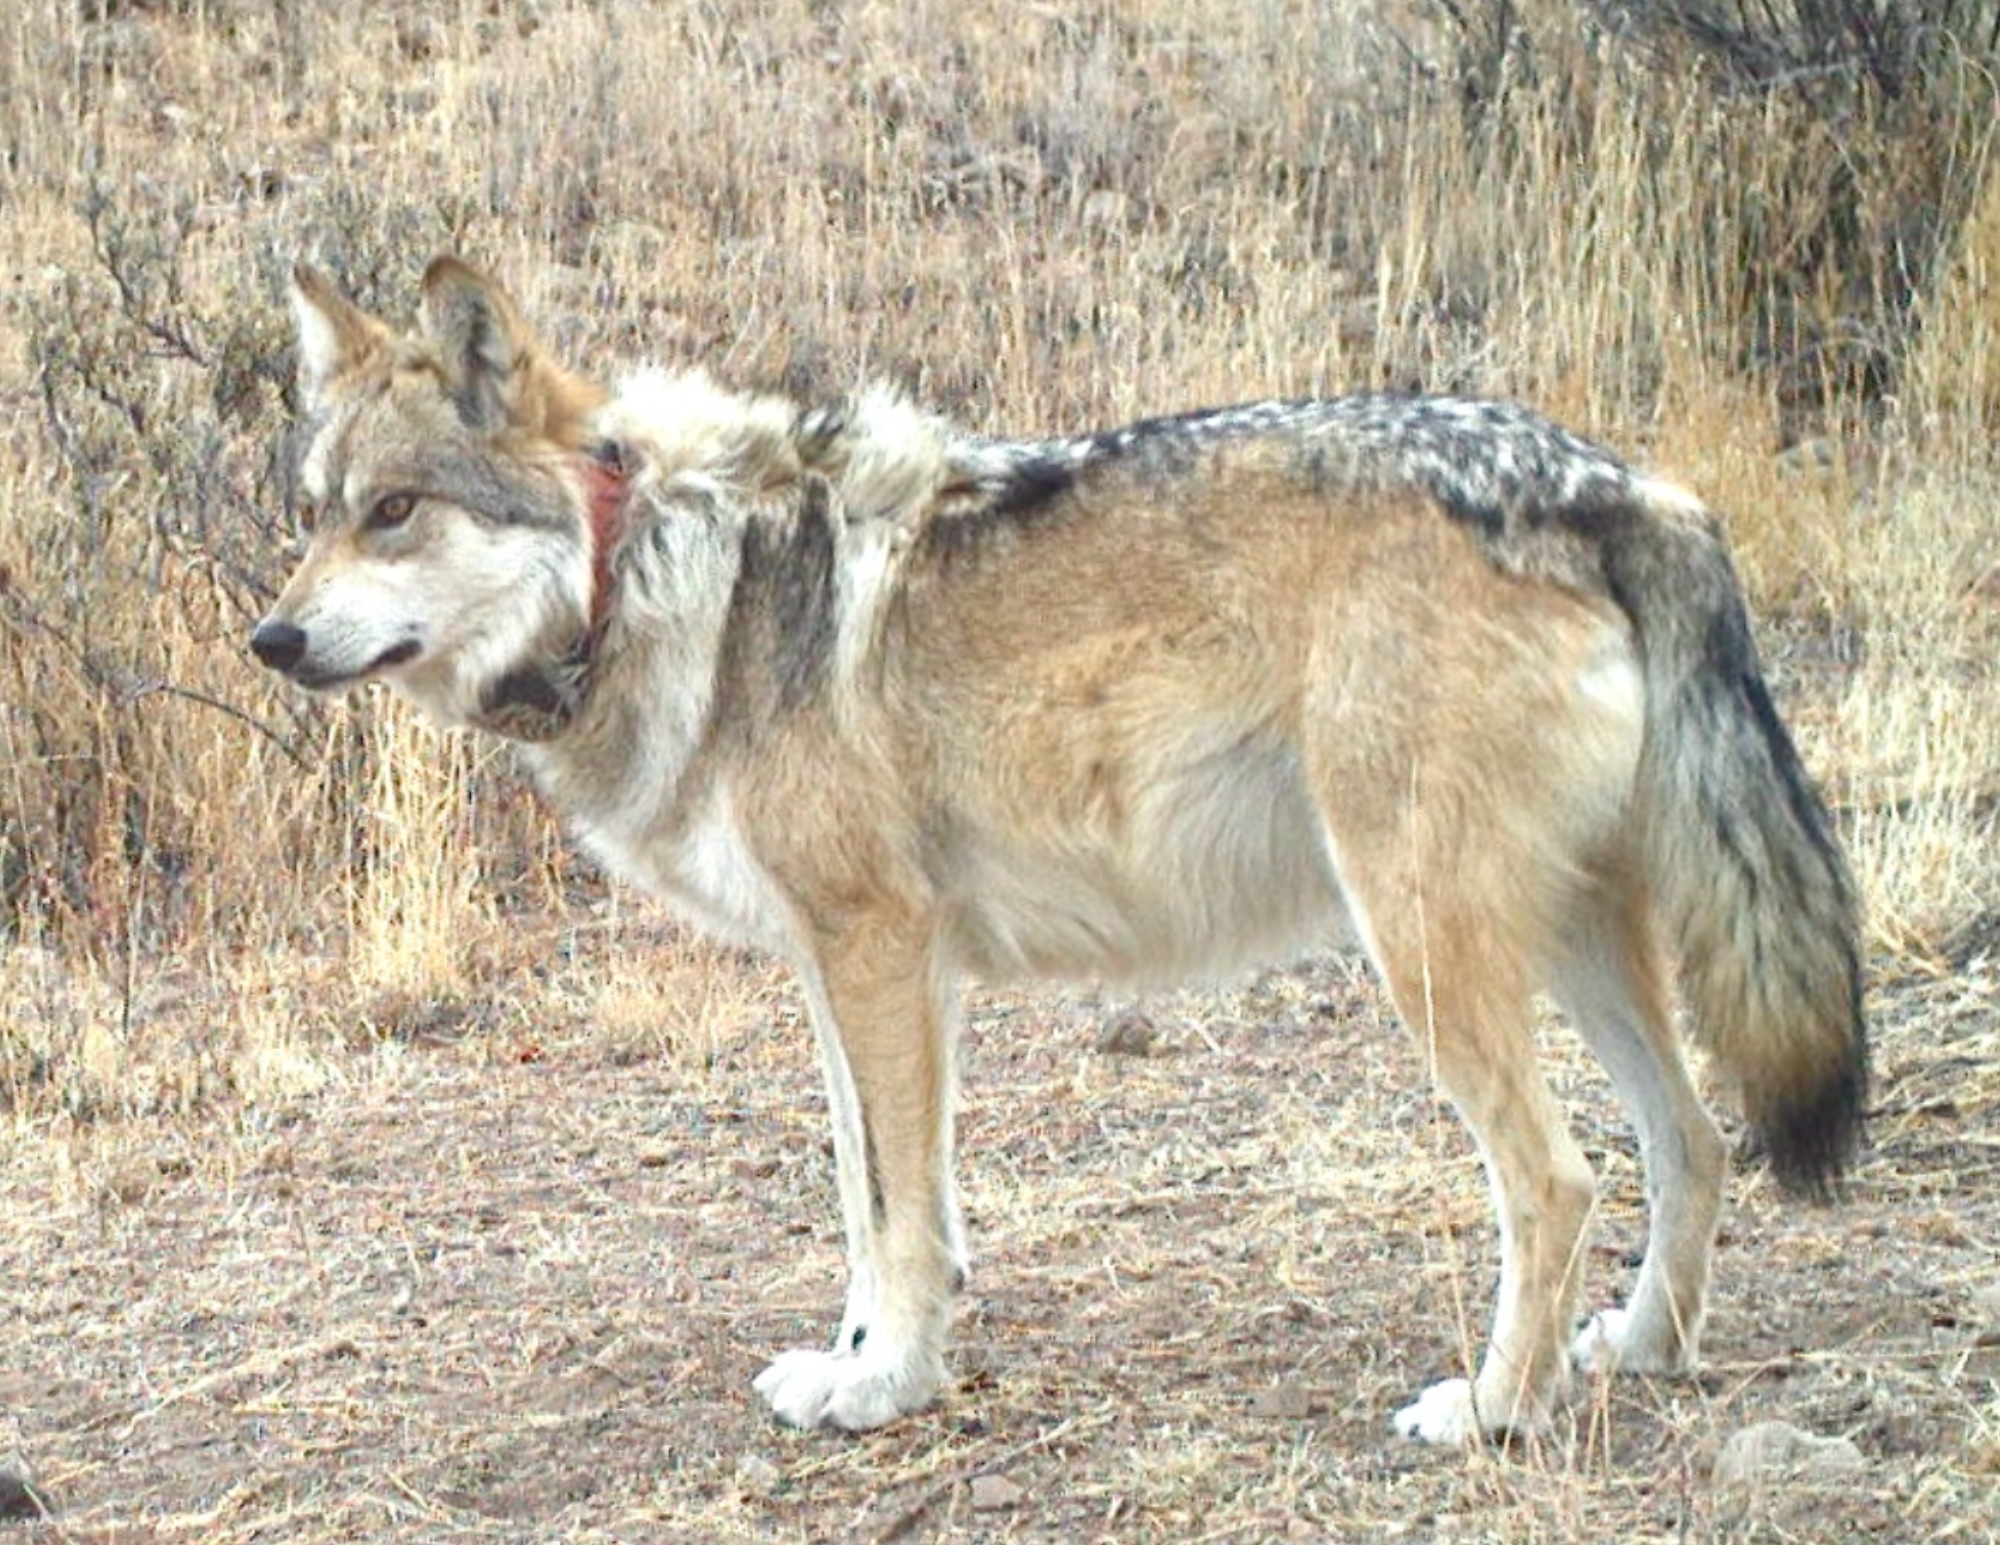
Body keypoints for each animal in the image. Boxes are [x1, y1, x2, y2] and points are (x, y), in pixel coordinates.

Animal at [251, 257, 1865, 1445]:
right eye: (315, 516)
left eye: (395, 511)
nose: (270, 639)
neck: (647, 567)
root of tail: (1620, 485)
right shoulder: (855, 971)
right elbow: (876, 1198)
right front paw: (858, 1356)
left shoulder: (877, 947)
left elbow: (897, 1216)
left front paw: (881, 1385)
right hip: (1575, 935)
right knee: (1691, 1139)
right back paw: (1639, 1352)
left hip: (1424, 943)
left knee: (1561, 1178)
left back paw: (1490, 1410)